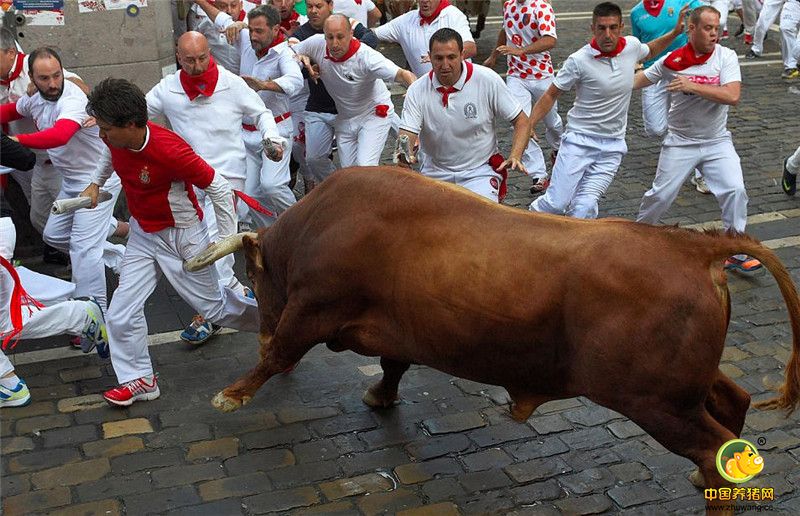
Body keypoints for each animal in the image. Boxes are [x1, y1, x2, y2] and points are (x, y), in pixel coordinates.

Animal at [191, 166, 800, 508]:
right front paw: (378, 396)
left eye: (254, 279)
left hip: (656, 401)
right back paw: (710, 478)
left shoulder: (313, 308)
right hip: (683, 387)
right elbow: (391, 365)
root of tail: (694, 247)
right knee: (733, 402)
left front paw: (230, 395)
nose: (258, 326)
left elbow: (278, 353)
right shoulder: (396, 329)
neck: (320, 224)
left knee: (712, 444)